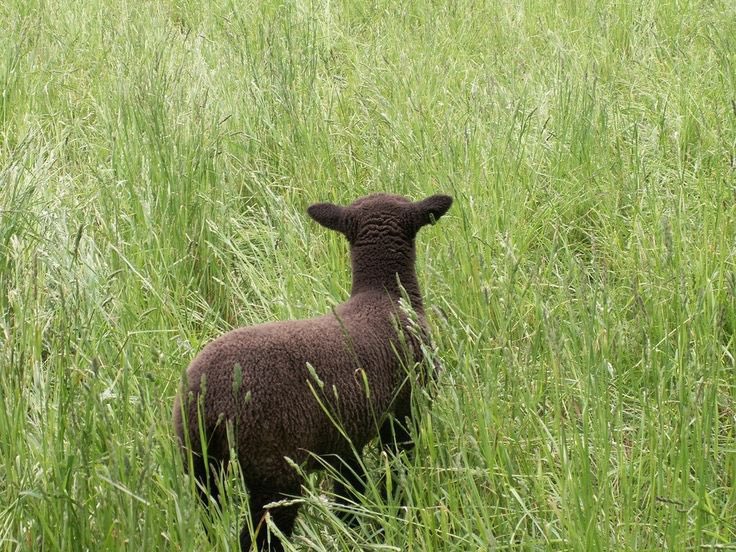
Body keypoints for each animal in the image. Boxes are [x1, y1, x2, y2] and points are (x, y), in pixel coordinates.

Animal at [173, 192, 453, 551]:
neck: (383, 293)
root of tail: (208, 396)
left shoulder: (345, 437)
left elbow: (350, 491)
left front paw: (354, 529)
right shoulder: (404, 413)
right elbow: (395, 472)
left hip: (199, 461)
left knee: (210, 518)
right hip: (273, 469)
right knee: (261, 535)